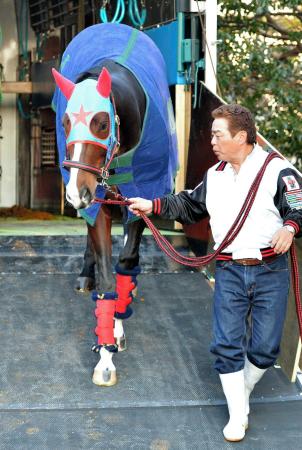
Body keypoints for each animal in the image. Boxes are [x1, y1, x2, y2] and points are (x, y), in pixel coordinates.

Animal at [52, 22, 178, 384]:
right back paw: (85, 275)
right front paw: (105, 357)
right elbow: (107, 274)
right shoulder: (98, 205)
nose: (75, 193)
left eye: (102, 122)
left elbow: (126, 261)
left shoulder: (140, 200)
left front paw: (119, 325)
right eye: (65, 123)